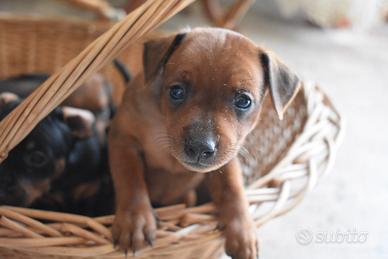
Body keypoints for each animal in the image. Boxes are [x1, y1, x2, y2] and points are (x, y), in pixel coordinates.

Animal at [109, 27, 300, 258]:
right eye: (176, 91)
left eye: (243, 101)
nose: (199, 147)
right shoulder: (124, 140)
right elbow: (131, 179)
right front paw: (134, 221)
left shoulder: (227, 160)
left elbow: (233, 189)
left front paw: (243, 231)